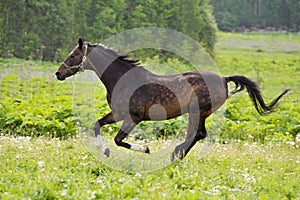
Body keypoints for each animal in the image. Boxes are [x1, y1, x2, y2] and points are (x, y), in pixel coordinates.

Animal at [55, 38, 290, 161]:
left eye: (73, 55)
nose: (58, 73)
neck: (123, 80)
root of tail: (224, 79)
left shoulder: (133, 117)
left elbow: (119, 140)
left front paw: (146, 149)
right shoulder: (117, 114)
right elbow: (97, 125)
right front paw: (103, 151)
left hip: (198, 111)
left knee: (199, 134)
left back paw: (176, 153)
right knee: (197, 134)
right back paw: (178, 154)